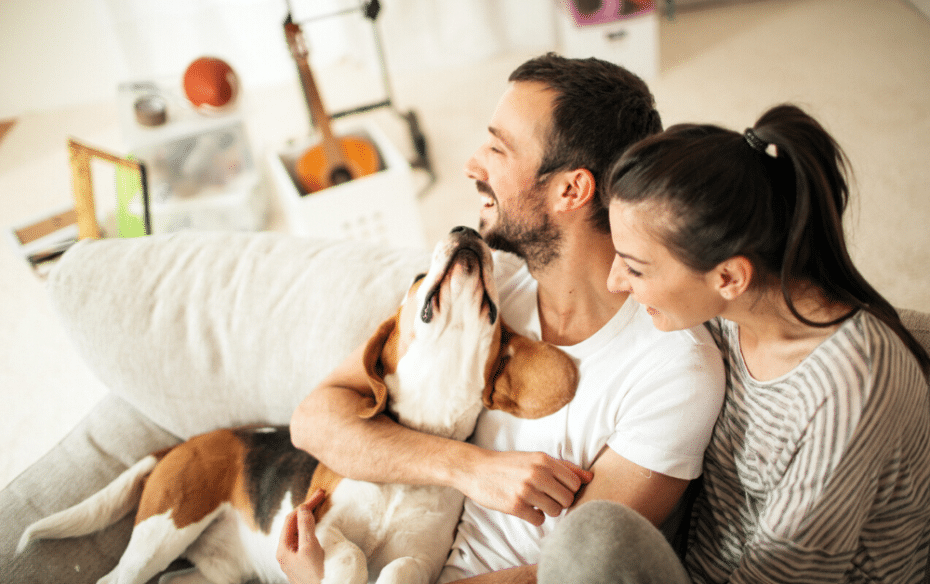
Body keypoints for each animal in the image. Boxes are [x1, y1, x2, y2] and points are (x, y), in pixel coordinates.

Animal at [18, 227, 576, 584]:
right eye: (419, 276)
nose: (466, 228)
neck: (416, 446)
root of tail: (191, 443)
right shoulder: (316, 524)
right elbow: (350, 556)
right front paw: (345, 577)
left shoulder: (421, 559)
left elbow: (398, 567)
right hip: (165, 529)